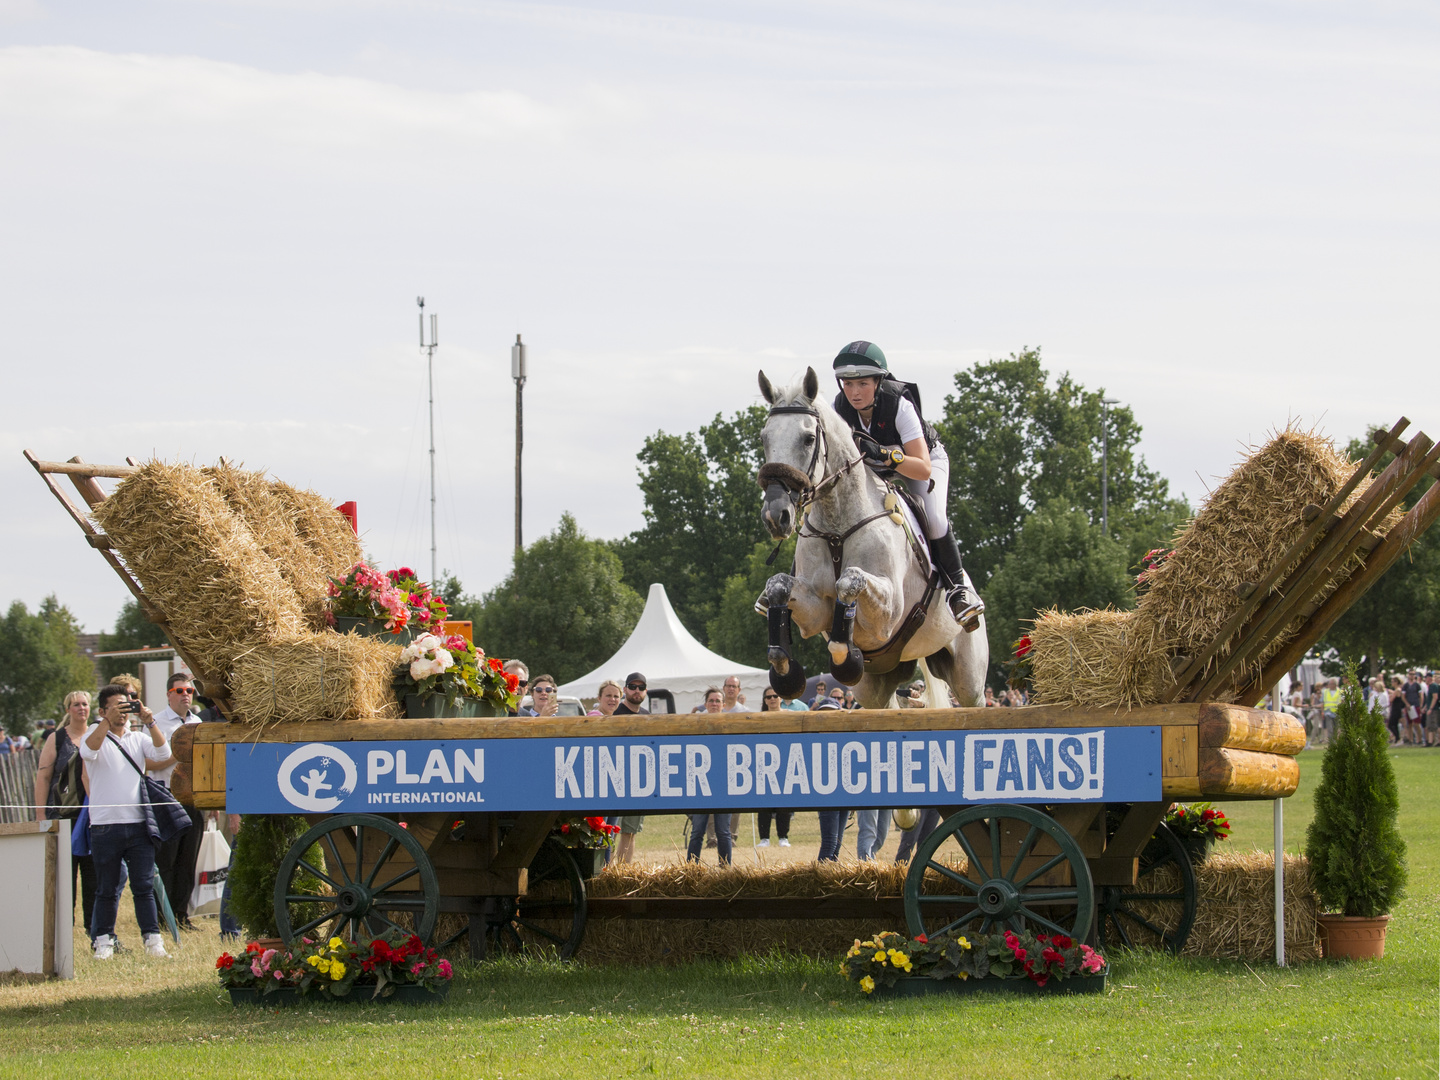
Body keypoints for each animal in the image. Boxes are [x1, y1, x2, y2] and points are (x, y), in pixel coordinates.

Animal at [754, 368, 990, 714]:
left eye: (809, 438)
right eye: (764, 438)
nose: (776, 515)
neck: (838, 524)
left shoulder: (888, 613)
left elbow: (849, 582)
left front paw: (844, 657)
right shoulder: (816, 609)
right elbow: (778, 585)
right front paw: (784, 671)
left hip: (968, 676)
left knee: (974, 697)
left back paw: (964, 601)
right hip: (874, 686)